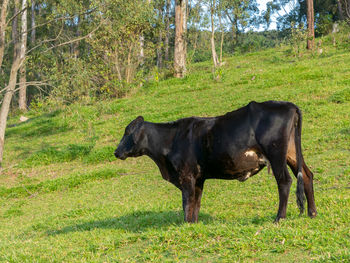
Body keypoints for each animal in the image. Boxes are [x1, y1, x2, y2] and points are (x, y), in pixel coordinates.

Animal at [115, 102, 318, 224]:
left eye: (127, 132)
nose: (116, 152)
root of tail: (289, 105)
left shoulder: (186, 175)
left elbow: (187, 201)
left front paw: (186, 224)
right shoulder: (198, 178)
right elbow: (196, 202)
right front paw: (194, 223)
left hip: (276, 154)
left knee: (284, 181)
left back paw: (279, 218)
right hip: (292, 153)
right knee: (307, 175)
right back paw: (312, 213)